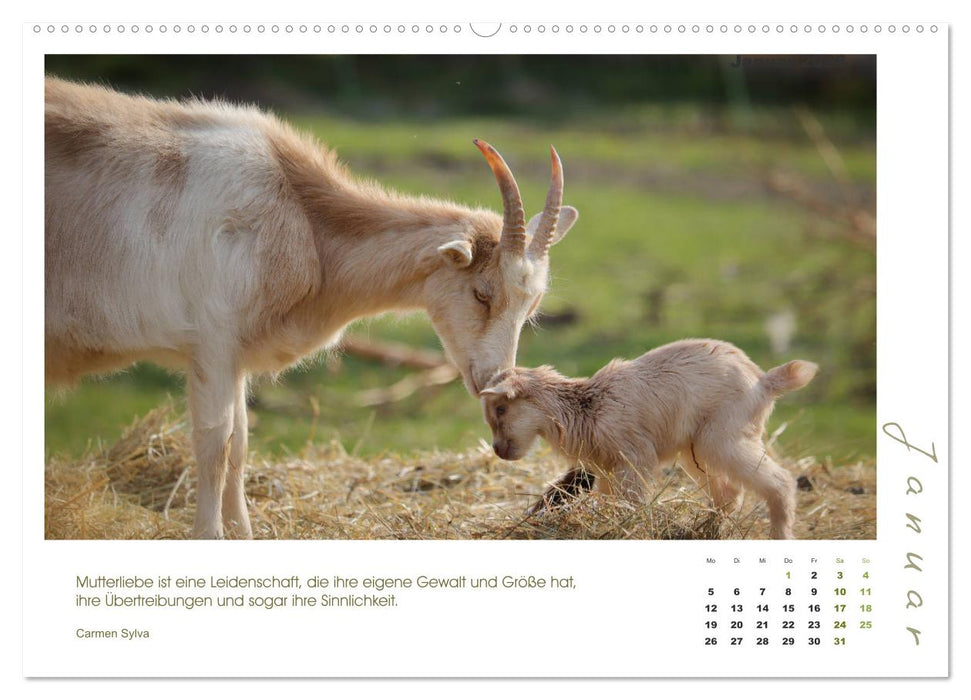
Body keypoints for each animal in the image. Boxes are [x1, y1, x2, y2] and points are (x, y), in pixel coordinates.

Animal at [45, 77, 579, 538]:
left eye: (530, 307)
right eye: (482, 293)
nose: (495, 380)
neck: (302, 217)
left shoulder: (235, 357)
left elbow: (240, 444)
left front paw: (244, 535)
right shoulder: (212, 344)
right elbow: (215, 443)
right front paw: (210, 535)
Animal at [479, 339, 818, 539]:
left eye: (501, 408)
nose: (497, 450)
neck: (586, 408)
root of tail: (764, 382)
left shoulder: (635, 458)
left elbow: (632, 503)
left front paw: (627, 528)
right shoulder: (606, 468)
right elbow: (610, 501)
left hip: (723, 438)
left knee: (779, 481)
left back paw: (779, 534)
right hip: (695, 450)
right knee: (730, 493)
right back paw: (705, 529)